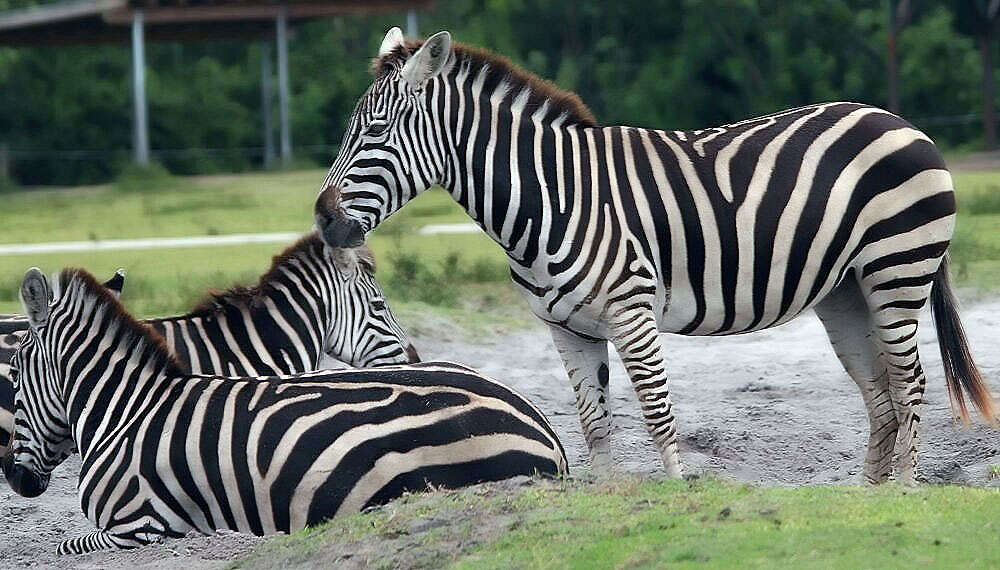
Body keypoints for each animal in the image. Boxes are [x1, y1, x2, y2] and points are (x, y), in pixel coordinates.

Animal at [5, 268, 572, 552]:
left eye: (12, 375)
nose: (13, 477)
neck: (126, 409)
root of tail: (543, 427)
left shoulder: (142, 526)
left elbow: (61, 549)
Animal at [316, 28, 996, 482]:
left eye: (374, 132)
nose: (322, 220)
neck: (549, 197)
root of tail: (898, 120)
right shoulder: (566, 329)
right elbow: (594, 428)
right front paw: (612, 504)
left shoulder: (632, 312)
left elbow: (657, 415)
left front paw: (674, 498)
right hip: (846, 291)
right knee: (881, 394)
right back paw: (866, 498)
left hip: (897, 270)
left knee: (910, 384)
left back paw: (902, 492)